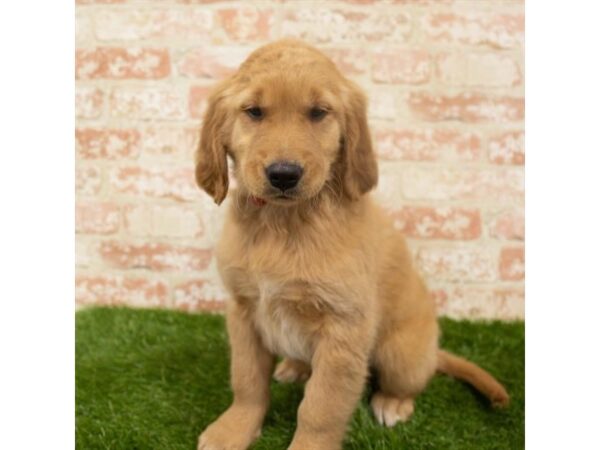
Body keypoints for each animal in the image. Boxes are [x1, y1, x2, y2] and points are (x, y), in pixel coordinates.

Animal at [195, 39, 508, 450]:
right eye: (254, 112)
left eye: (318, 113)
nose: (284, 174)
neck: (284, 223)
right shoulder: (244, 310)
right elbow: (247, 381)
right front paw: (233, 430)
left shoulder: (344, 328)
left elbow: (320, 406)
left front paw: (308, 445)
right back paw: (293, 367)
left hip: (400, 352)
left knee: (410, 381)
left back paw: (393, 403)